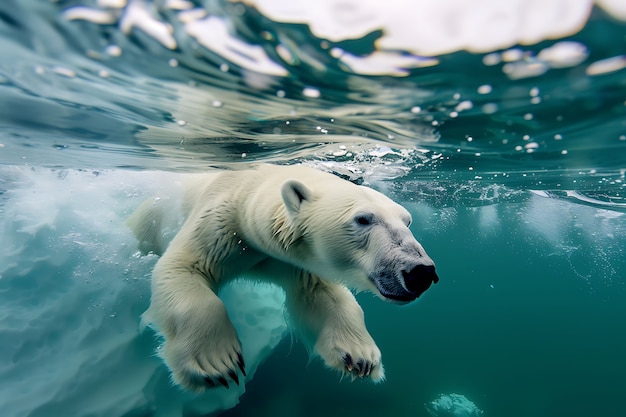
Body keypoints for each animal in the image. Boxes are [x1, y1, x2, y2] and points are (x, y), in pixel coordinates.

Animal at [129, 165, 436, 390]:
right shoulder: (222, 223)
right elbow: (184, 267)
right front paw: (216, 363)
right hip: (151, 217)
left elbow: (322, 296)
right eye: (362, 219)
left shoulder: (295, 260)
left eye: (407, 221)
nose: (421, 272)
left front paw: (360, 355)